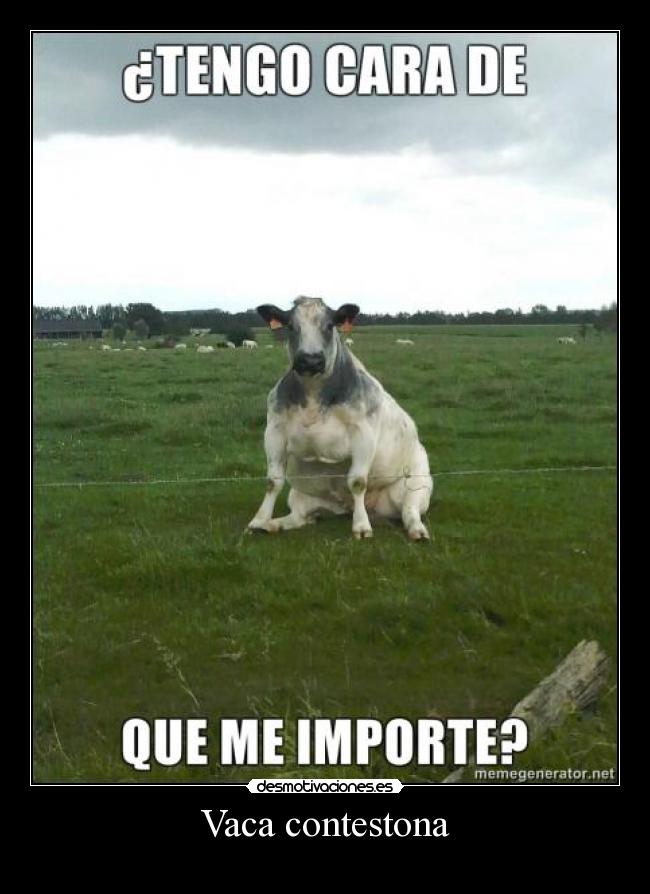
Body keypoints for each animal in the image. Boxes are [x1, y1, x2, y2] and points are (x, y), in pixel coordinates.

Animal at [248, 296, 433, 540]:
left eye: (329, 325)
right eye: (290, 326)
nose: (310, 360)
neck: (314, 394)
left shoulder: (363, 433)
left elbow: (358, 482)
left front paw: (361, 527)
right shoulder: (274, 431)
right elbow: (272, 481)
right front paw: (259, 520)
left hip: (418, 484)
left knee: (409, 510)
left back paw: (417, 530)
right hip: (300, 495)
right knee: (299, 517)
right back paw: (274, 524)